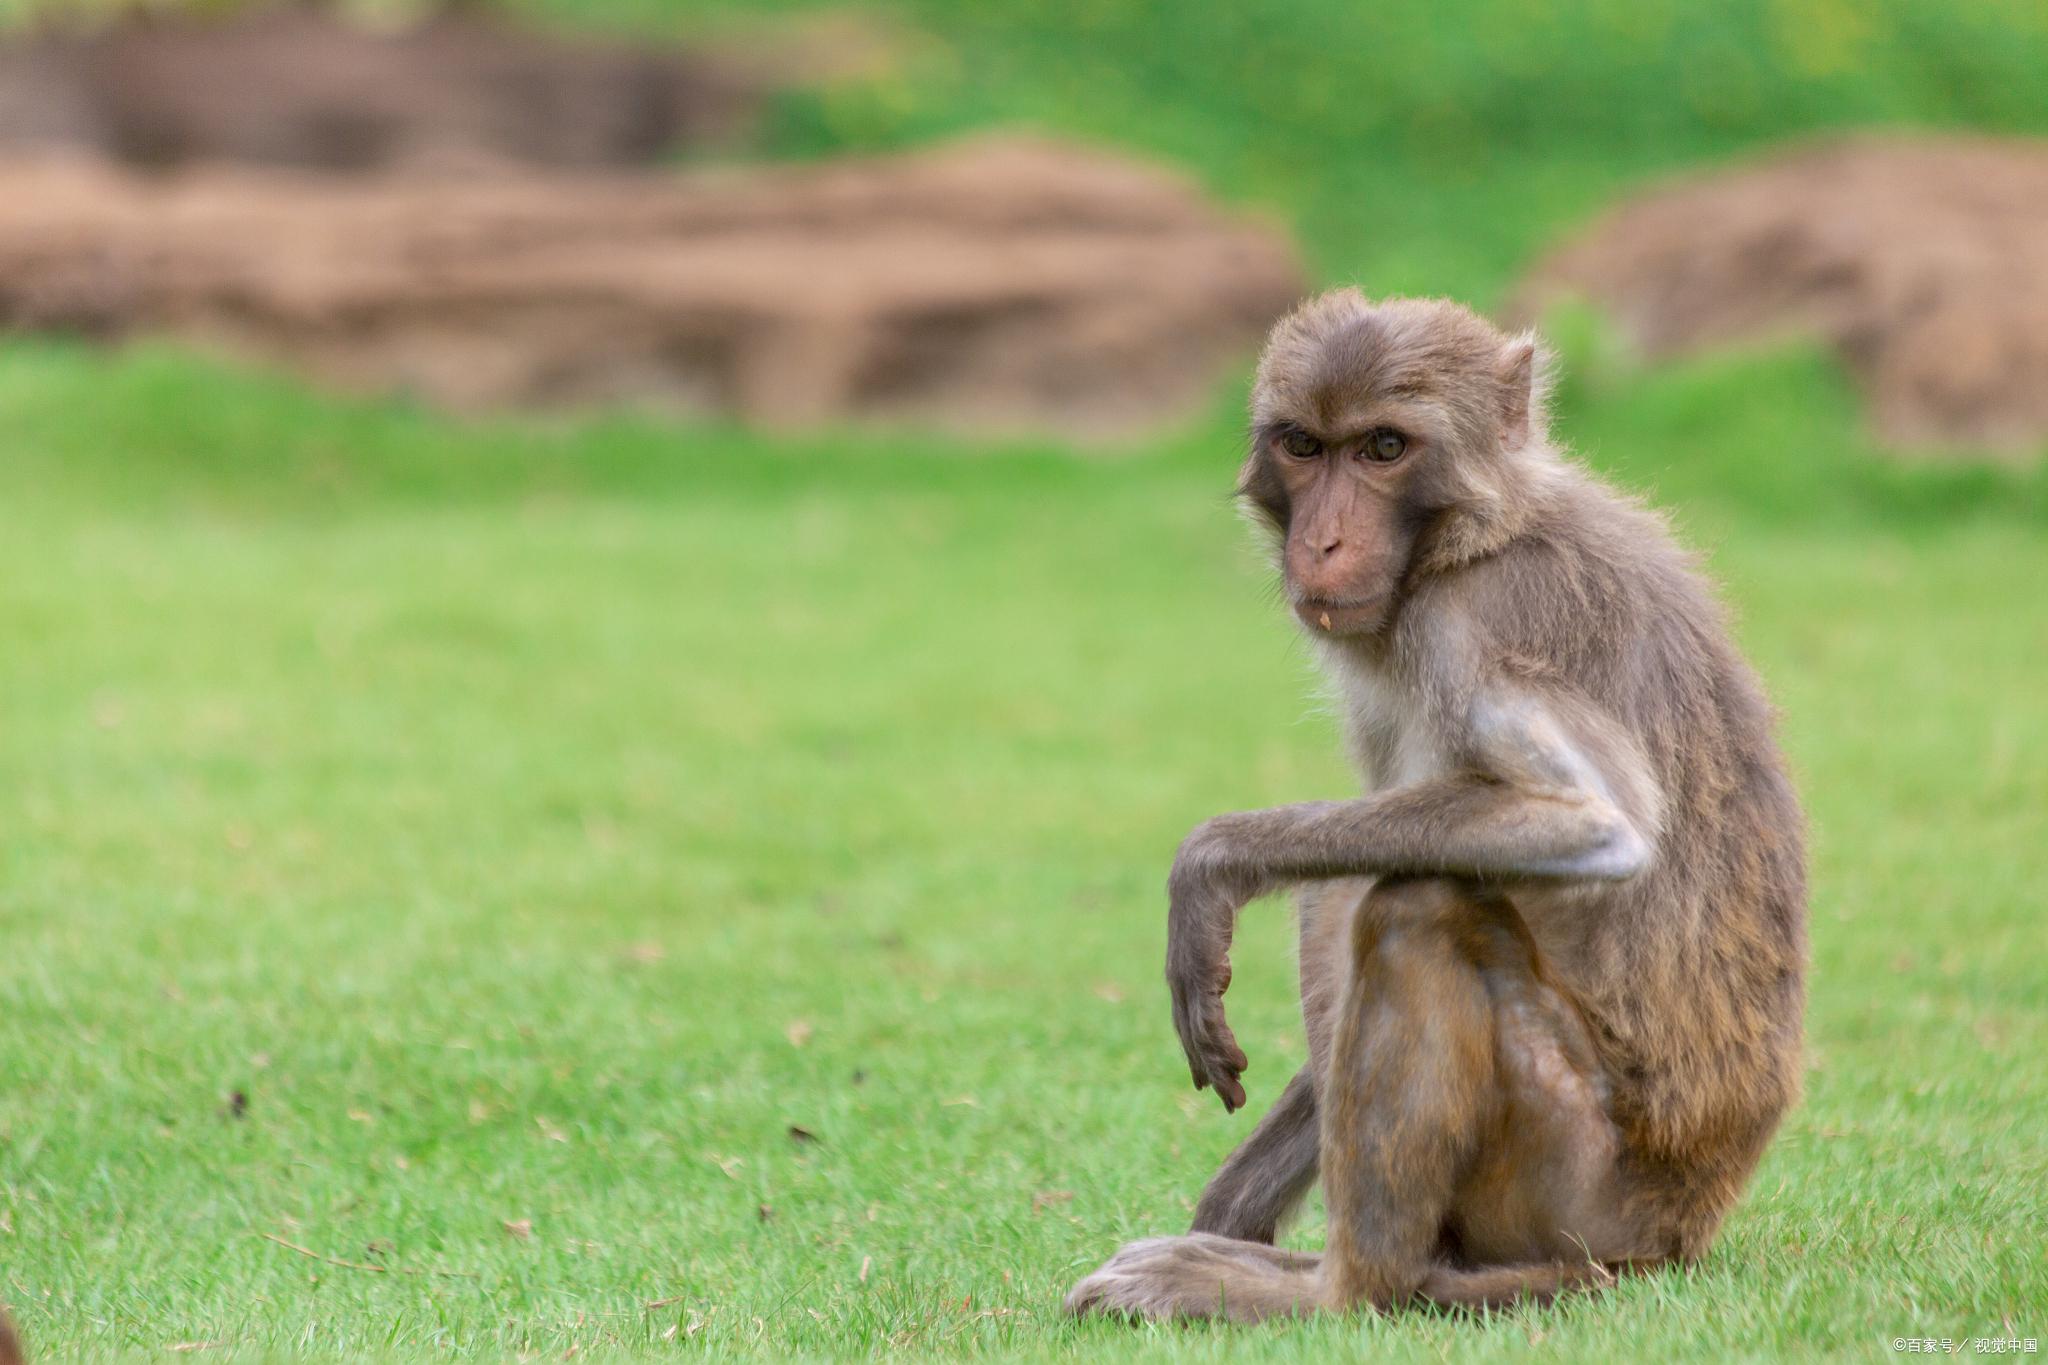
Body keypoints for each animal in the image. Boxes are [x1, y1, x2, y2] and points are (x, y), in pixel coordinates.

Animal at [1064, 290, 1802, 1326]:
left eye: (1384, 447)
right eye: (1305, 445)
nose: (1323, 542)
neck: (1475, 534)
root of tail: (1679, 1226)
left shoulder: (1467, 625)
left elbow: (1593, 822)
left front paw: (1213, 862)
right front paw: (1234, 1202)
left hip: (1571, 1173)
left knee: (1408, 899)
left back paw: (1337, 1287)